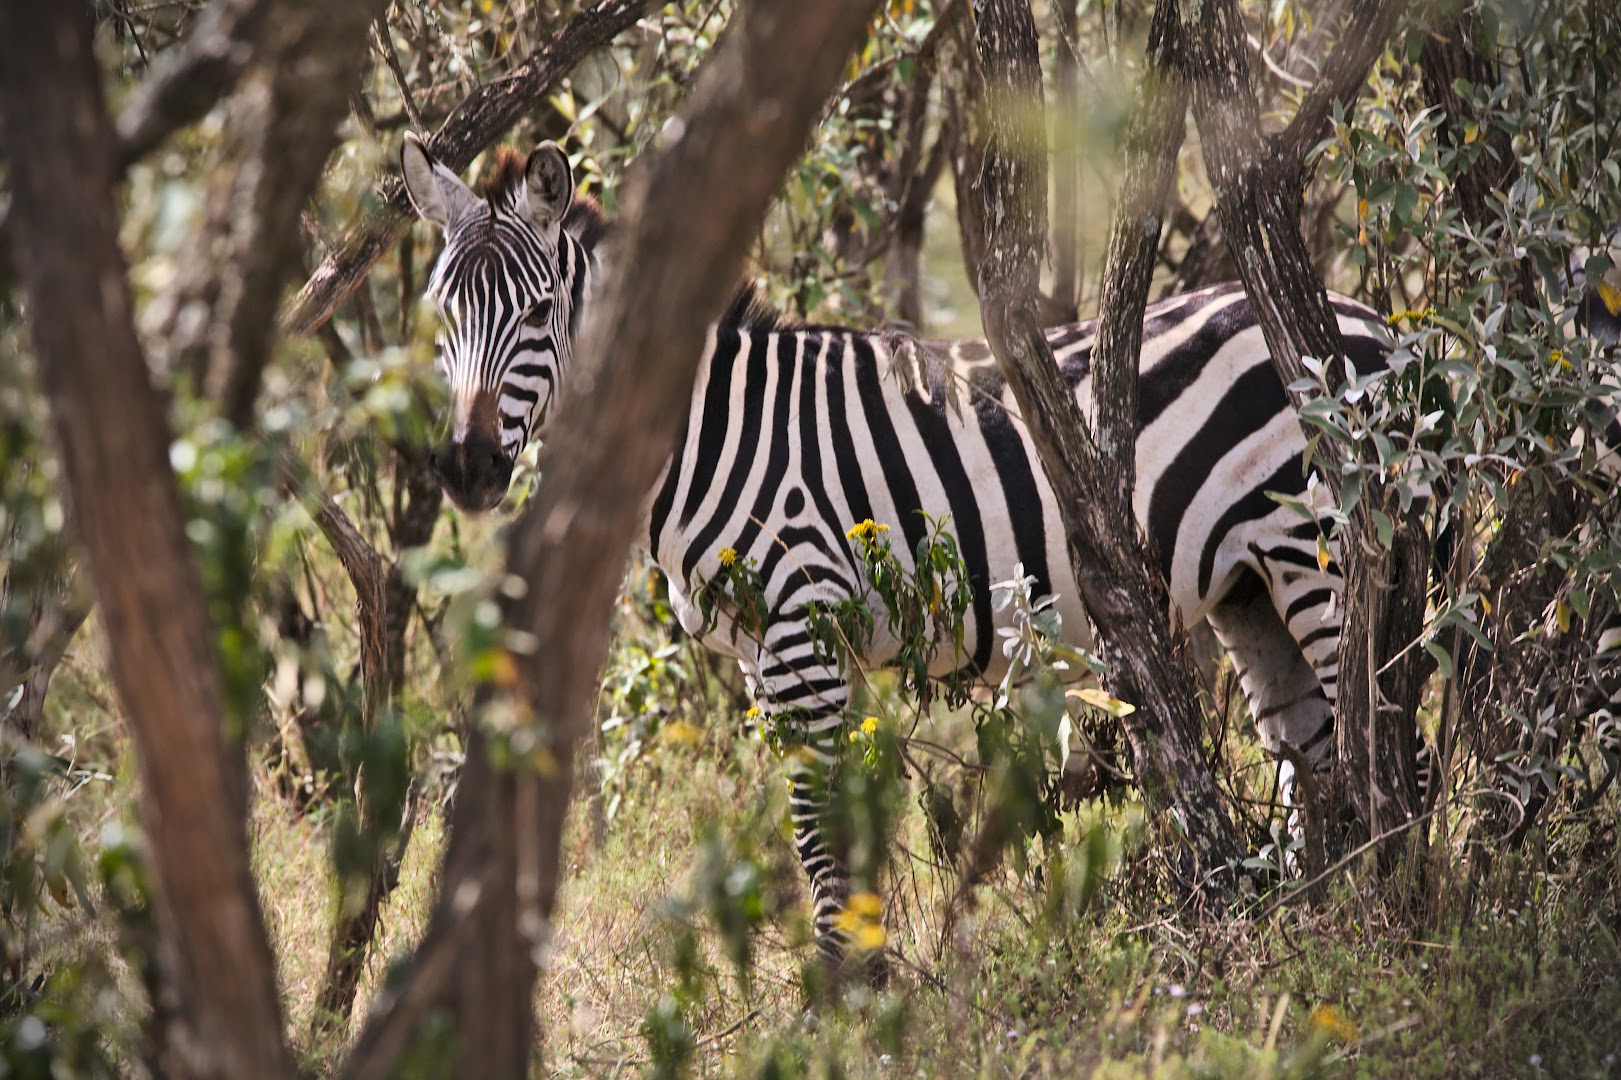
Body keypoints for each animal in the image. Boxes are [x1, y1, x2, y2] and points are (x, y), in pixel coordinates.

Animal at [402, 130, 1394, 960]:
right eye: (438, 315)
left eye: (537, 314)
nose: (468, 469)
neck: (712, 431)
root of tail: (1364, 318)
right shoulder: (771, 651)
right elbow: (831, 825)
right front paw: (859, 979)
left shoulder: (800, 626)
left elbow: (816, 827)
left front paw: (842, 996)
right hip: (1246, 585)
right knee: (1310, 756)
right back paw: (1326, 933)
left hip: (1316, 549)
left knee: (1372, 733)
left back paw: (1388, 921)